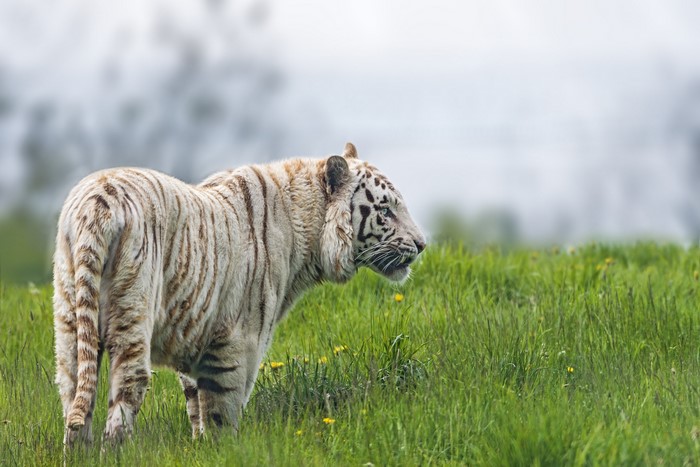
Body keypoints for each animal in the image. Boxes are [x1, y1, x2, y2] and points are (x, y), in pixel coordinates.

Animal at [53, 142, 426, 446]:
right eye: (386, 211)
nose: (422, 244)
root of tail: (96, 203)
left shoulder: (196, 331)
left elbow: (195, 405)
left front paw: (198, 445)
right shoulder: (238, 341)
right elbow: (223, 409)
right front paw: (222, 449)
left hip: (70, 323)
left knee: (74, 397)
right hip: (132, 313)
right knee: (125, 393)